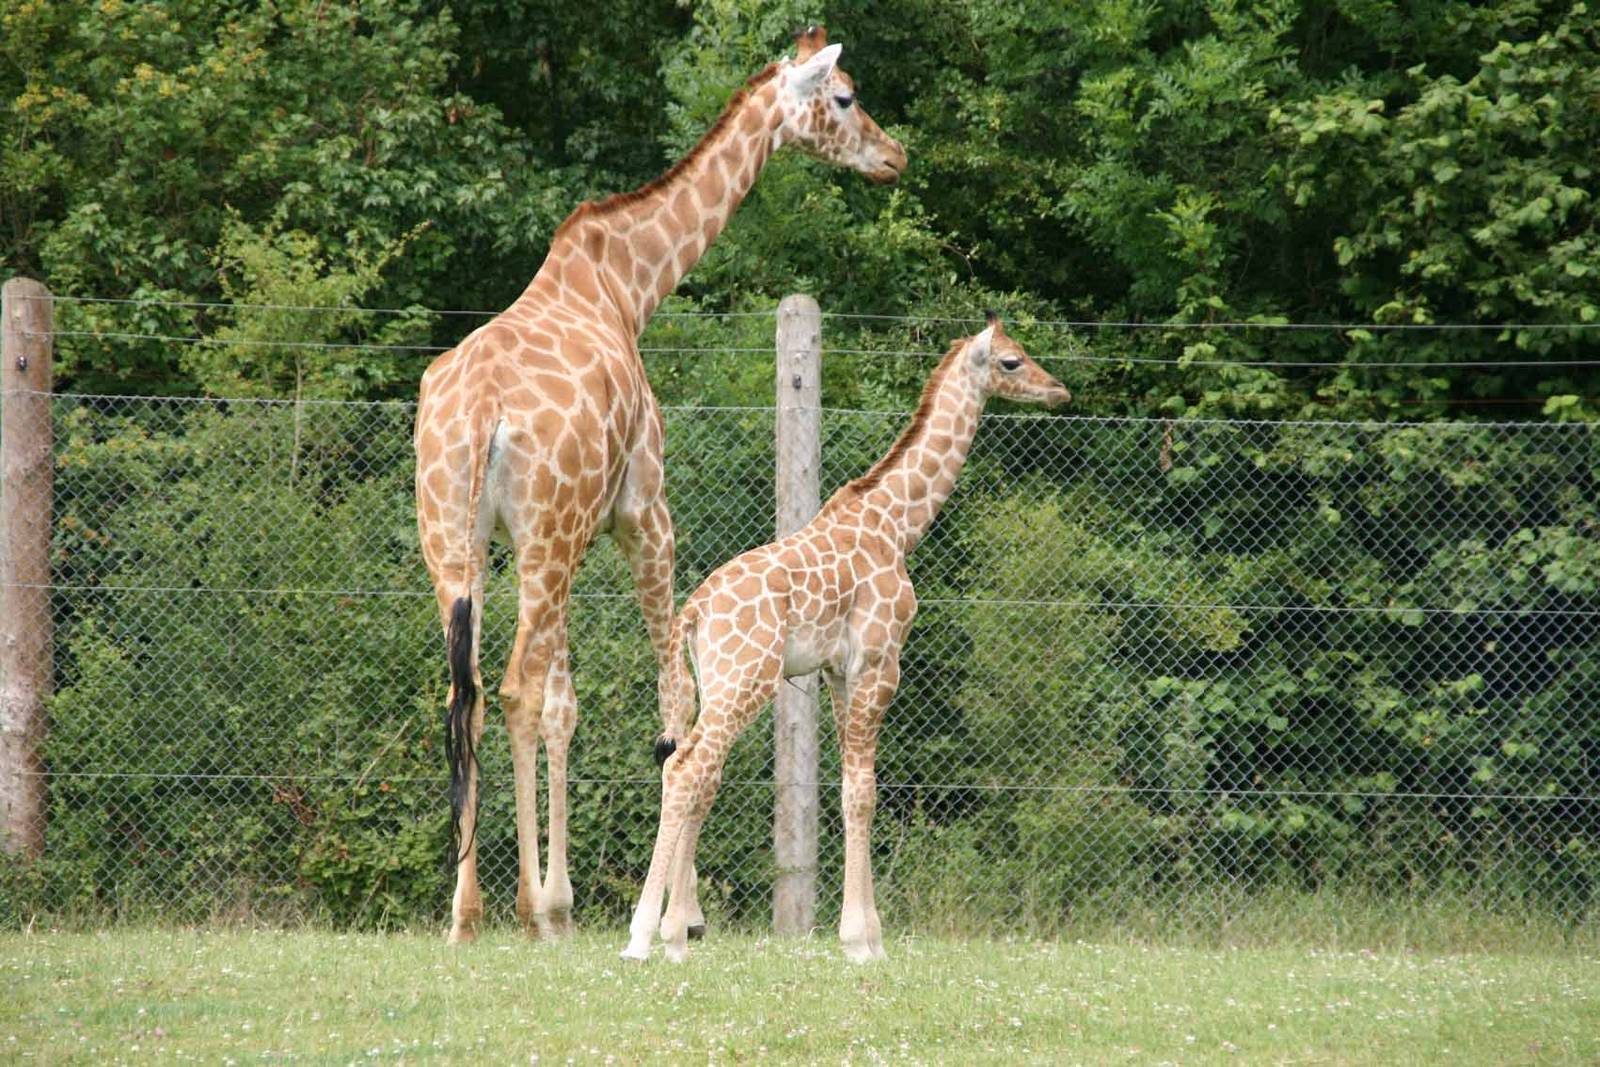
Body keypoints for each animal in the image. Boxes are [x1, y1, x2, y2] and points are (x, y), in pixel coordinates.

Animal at [414, 26, 907, 945]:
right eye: (847, 96)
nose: (894, 156)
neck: (629, 285)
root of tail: (482, 412)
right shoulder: (643, 512)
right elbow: (671, 695)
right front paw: (677, 911)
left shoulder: (554, 536)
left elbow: (570, 702)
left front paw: (575, 900)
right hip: (546, 535)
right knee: (513, 687)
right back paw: (525, 907)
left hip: (457, 543)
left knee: (471, 689)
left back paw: (466, 912)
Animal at [623, 314, 1071, 962]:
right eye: (1012, 361)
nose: (1058, 389)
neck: (898, 524)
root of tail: (695, 613)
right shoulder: (880, 659)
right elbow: (864, 790)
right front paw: (864, 940)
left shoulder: (837, 669)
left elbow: (844, 786)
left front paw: (861, 932)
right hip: (747, 679)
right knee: (686, 770)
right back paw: (642, 936)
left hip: (715, 683)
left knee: (697, 773)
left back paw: (676, 933)